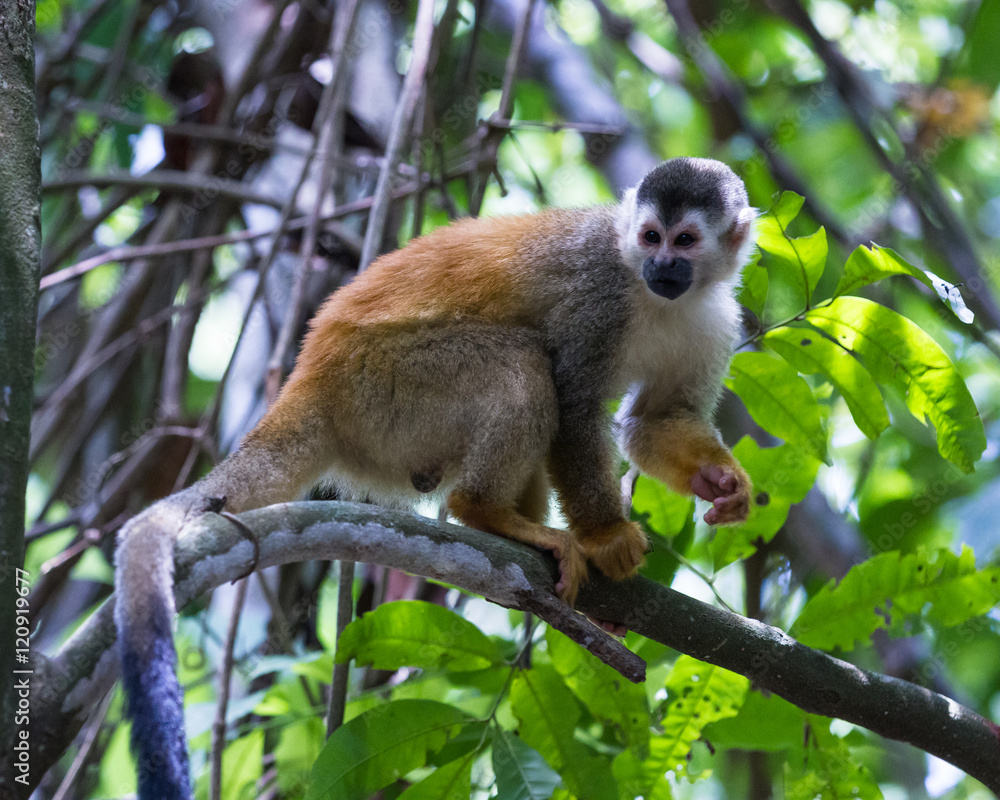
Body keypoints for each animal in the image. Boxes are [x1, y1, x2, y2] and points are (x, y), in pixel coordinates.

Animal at [114, 157, 756, 800]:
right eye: (650, 236)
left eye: (684, 240)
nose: (661, 266)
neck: (657, 297)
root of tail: (313, 371)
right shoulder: (599, 298)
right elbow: (574, 410)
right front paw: (606, 537)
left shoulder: (716, 317)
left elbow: (656, 420)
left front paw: (723, 484)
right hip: (386, 384)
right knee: (525, 363)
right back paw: (486, 512)